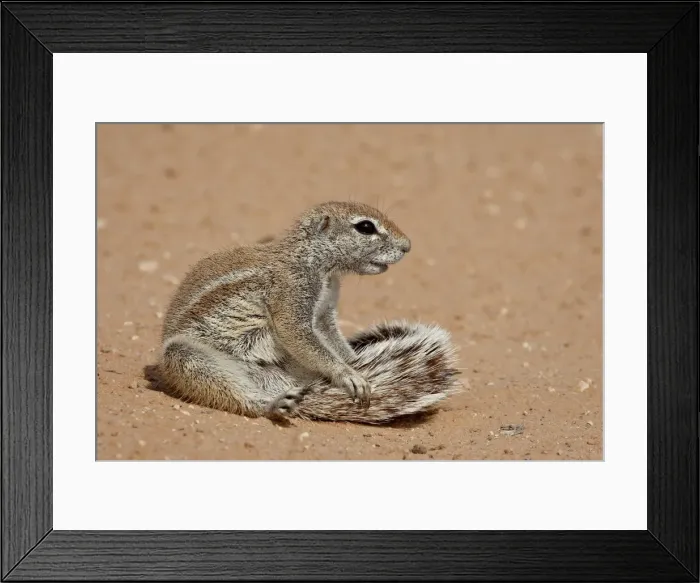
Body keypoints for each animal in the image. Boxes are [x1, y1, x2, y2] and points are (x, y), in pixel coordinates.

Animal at [149, 201, 462, 424]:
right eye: (365, 227)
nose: (407, 246)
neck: (317, 266)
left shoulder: (324, 313)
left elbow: (331, 338)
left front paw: (354, 363)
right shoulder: (291, 292)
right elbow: (296, 333)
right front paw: (347, 374)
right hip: (185, 357)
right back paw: (272, 405)